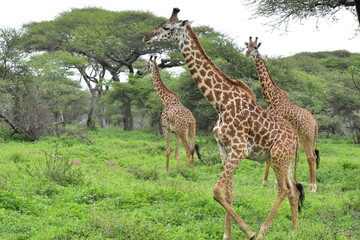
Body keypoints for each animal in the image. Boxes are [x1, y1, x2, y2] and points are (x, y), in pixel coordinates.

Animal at [143, 7, 304, 240]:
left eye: (166, 27)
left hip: (277, 157)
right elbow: (228, 194)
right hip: (284, 158)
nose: (146, 37)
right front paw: (227, 235)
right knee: (293, 189)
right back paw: (295, 229)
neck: (221, 103)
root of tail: (296, 138)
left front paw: (248, 231)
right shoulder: (224, 150)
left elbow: (216, 191)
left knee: (283, 189)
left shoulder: (239, 149)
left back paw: (262, 232)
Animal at [245, 36, 320, 192]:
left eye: (255, 47)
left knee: (311, 157)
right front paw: (267, 182)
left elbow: (271, 158)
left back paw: (313, 187)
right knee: (311, 157)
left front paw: (270, 183)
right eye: (247, 45)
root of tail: (315, 122)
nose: (248, 53)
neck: (271, 98)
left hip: (307, 135)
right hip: (302, 137)